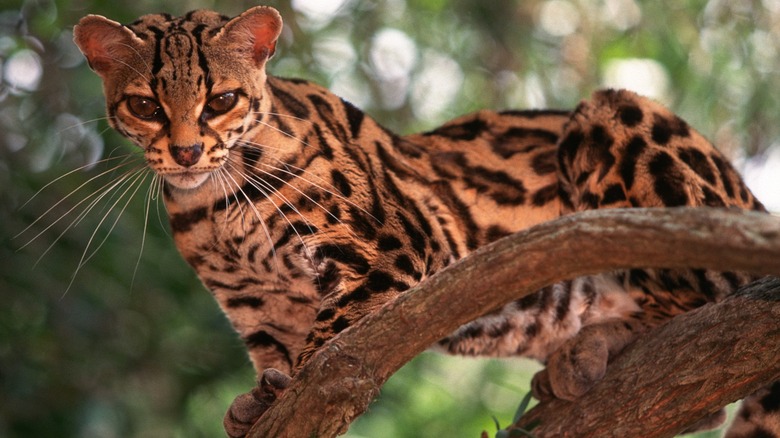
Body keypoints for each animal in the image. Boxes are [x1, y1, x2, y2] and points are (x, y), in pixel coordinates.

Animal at [70, 5, 776, 436]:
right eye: (144, 105)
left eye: (220, 100)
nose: (187, 151)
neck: (213, 205)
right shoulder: (261, 311)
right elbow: (281, 356)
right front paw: (256, 403)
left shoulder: (398, 247)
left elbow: (327, 355)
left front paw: (289, 395)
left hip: (614, 117)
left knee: (705, 306)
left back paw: (598, 343)